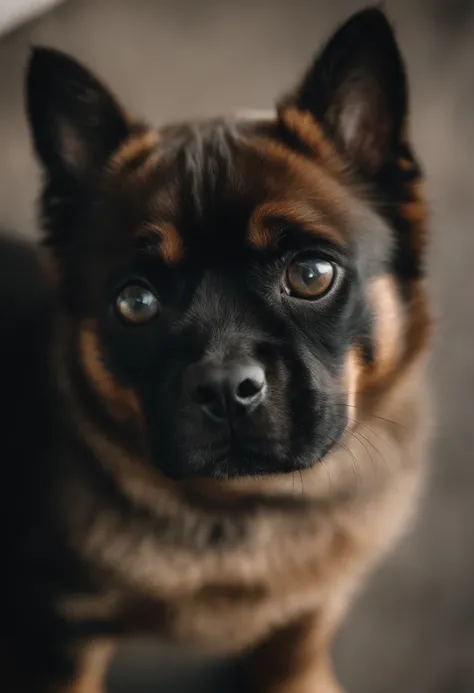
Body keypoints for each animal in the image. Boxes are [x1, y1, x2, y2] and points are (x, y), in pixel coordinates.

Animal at [0, 6, 432, 692]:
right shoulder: (60, 635)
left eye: (312, 274)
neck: (245, 510)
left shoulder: (316, 600)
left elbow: (299, 643)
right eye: (136, 301)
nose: (226, 388)